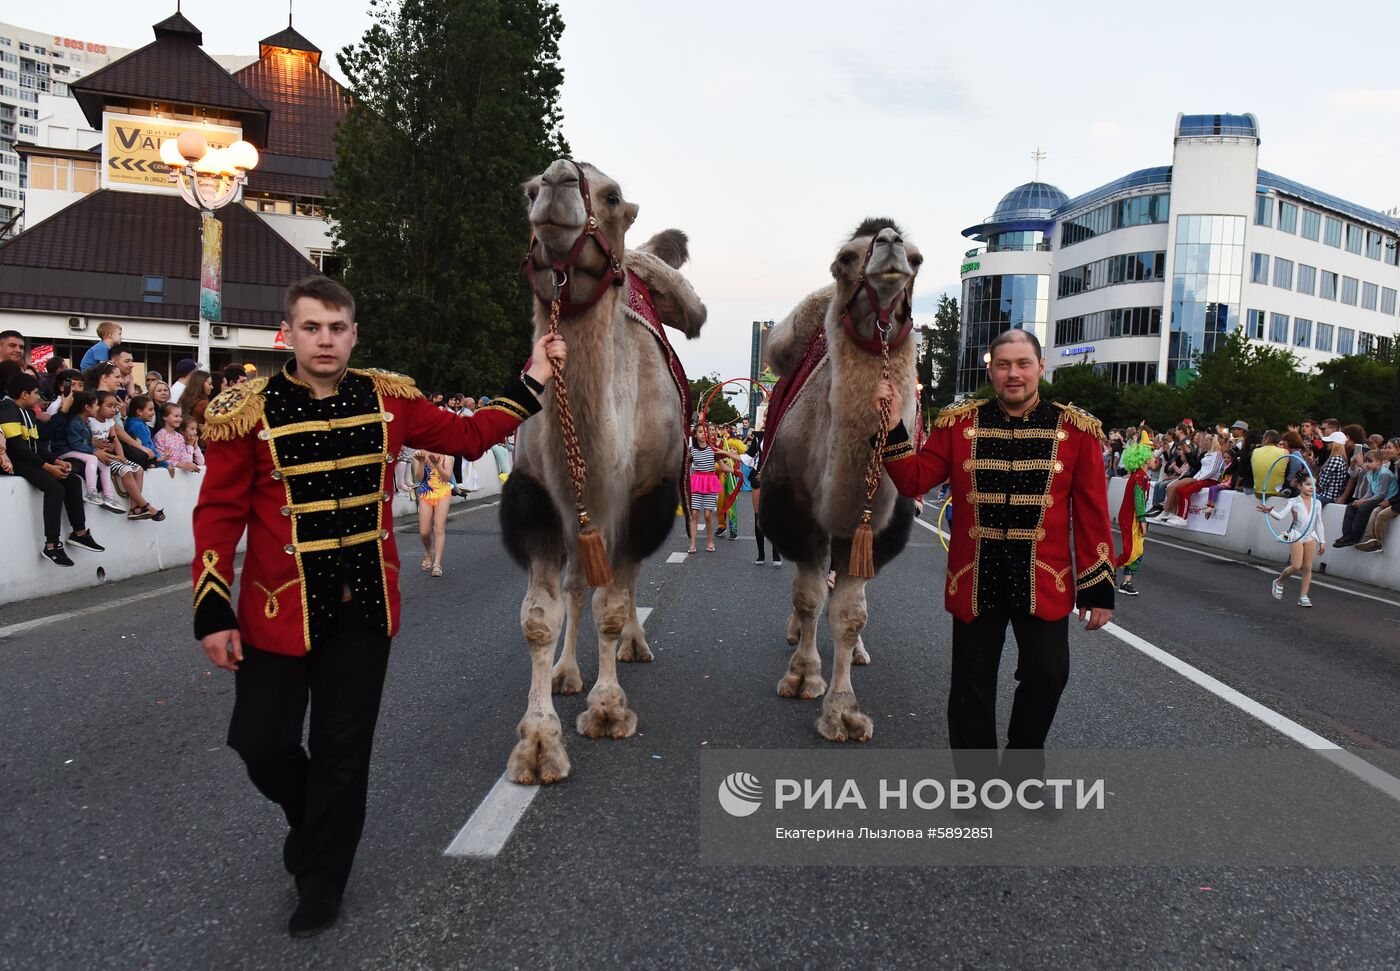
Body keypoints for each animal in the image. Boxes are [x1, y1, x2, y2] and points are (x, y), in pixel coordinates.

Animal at [498, 158, 705, 783]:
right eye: (530, 191)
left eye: (612, 196)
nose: (560, 179)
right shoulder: (539, 500)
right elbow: (540, 616)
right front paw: (540, 742)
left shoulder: (643, 497)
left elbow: (612, 605)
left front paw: (610, 709)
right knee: (575, 586)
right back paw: (567, 674)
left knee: (628, 577)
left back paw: (635, 646)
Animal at [761, 222, 924, 744]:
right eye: (845, 260)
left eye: (917, 260)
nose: (890, 247)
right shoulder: (795, 517)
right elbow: (809, 597)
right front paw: (802, 677)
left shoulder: (867, 533)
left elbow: (850, 614)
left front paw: (844, 712)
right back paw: (796, 636)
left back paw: (859, 654)